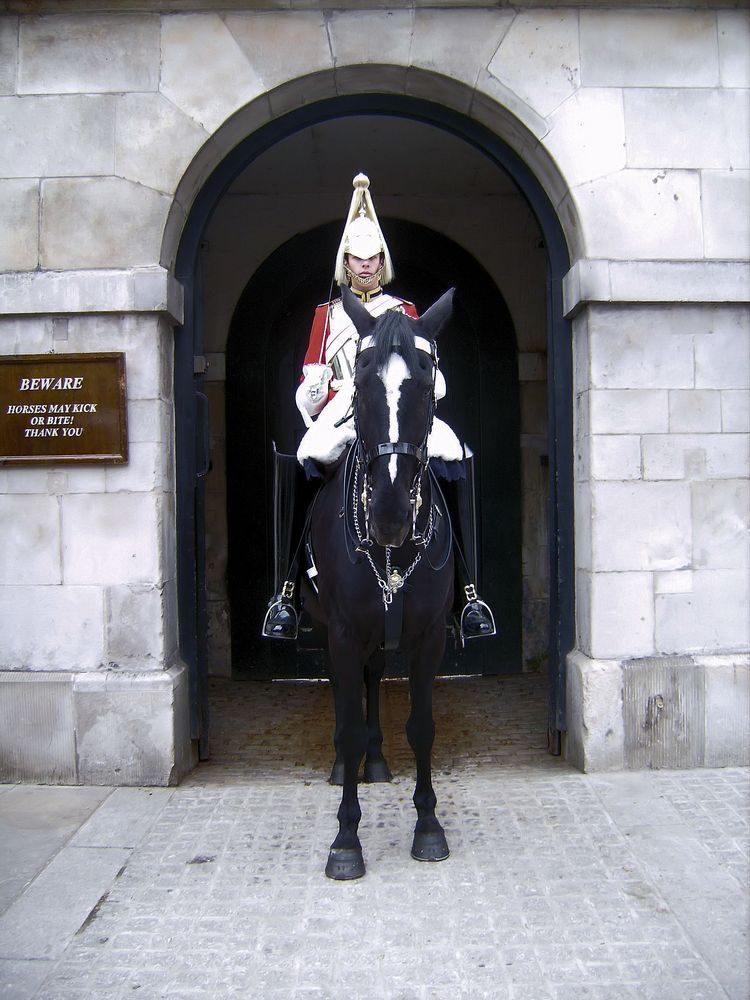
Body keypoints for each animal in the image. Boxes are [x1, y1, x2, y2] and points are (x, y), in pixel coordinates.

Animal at [306, 286, 458, 880]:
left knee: (372, 681)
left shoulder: (429, 637)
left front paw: (429, 825)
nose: (390, 514)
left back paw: (374, 761)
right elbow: (347, 722)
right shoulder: (344, 633)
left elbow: (423, 726)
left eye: (426, 381)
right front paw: (346, 840)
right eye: (361, 383)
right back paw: (345, 765)